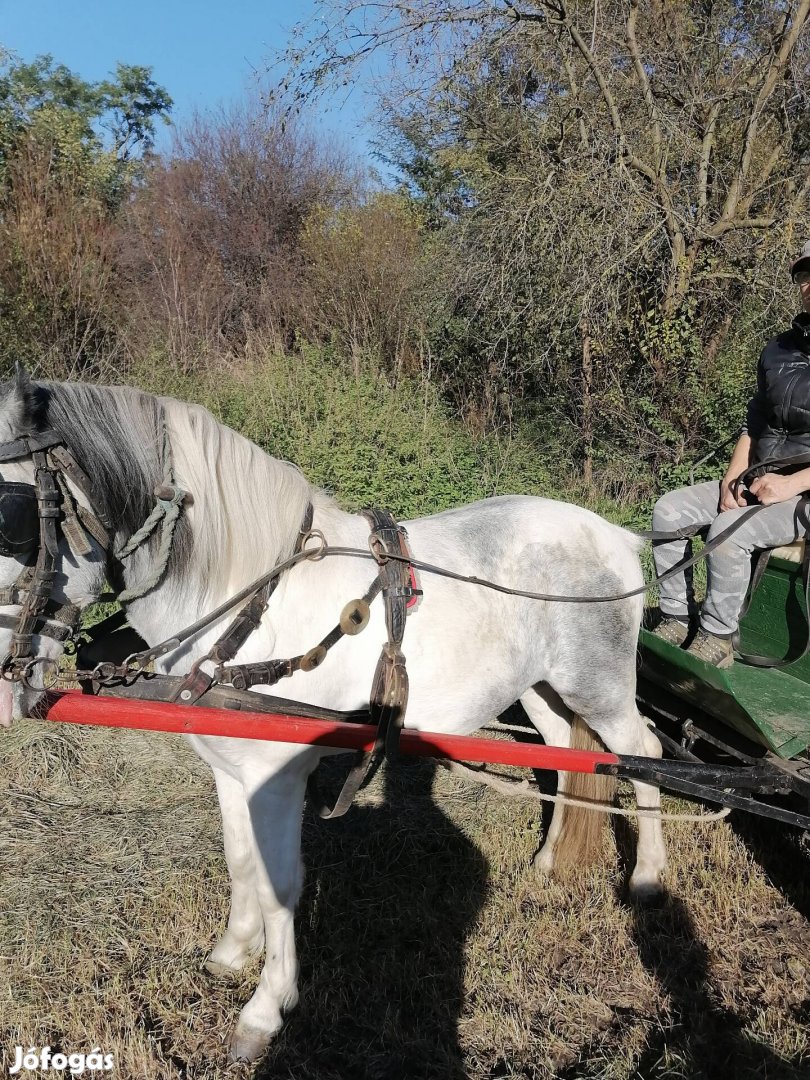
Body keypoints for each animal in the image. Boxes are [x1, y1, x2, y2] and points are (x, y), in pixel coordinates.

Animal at [0, 373, 665, 1062]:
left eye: (9, 516)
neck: (250, 600)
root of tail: (618, 536)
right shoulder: (230, 768)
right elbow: (241, 861)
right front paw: (233, 952)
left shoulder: (276, 775)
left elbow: (279, 883)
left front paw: (266, 1009)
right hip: (542, 686)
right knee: (567, 755)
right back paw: (550, 861)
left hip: (599, 684)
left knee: (643, 753)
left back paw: (647, 878)